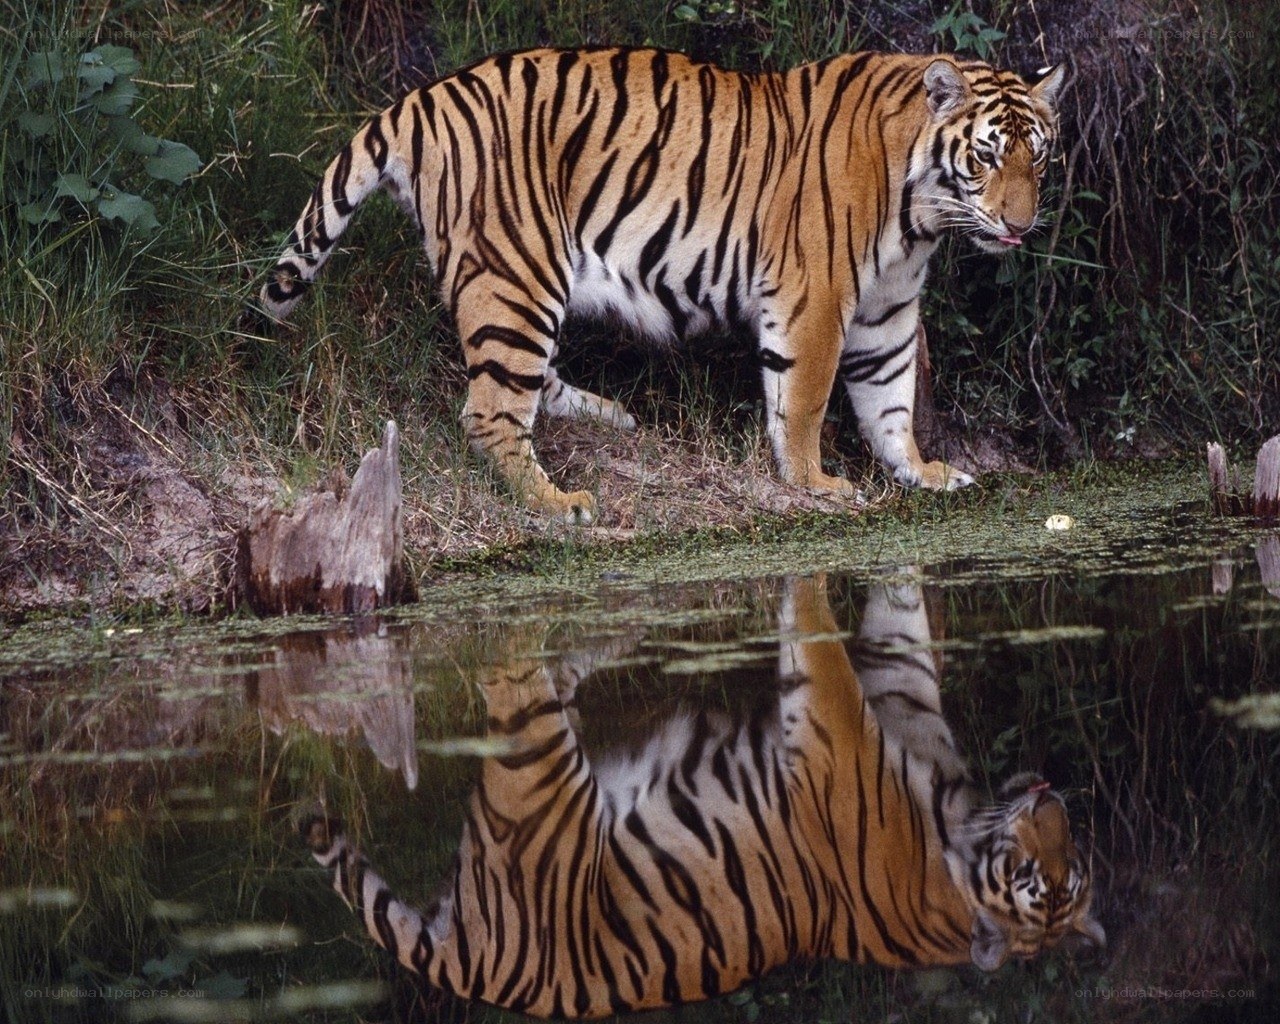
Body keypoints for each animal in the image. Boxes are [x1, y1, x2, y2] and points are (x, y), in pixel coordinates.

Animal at [260, 47, 1065, 523]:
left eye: (1038, 157)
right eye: (986, 157)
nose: (1020, 226)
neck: (921, 214)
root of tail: (424, 98)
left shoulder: (888, 308)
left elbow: (892, 399)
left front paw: (922, 472)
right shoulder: (815, 296)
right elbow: (804, 399)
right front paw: (816, 484)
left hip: (521, 286)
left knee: (527, 382)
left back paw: (608, 416)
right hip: (517, 272)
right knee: (490, 410)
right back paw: (560, 502)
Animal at [301, 574, 1103, 1018]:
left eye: (1063, 873)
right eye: (1037, 874)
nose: (1053, 801)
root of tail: (483, 971)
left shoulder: (844, 738)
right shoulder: (866, 721)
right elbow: (869, 636)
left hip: (533, 769)